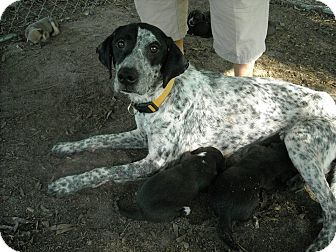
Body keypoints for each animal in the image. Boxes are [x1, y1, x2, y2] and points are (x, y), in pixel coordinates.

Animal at [49, 22, 336, 251]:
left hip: (298, 140)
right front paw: (66, 147)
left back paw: (318, 243)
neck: (162, 95)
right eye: (121, 43)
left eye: (154, 48)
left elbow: (103, 171)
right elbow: (97, 139)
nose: (126, 76)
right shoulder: (141, 135)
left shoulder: (154, 162)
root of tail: (330, 101)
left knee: (330, 204)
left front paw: (66, 183)